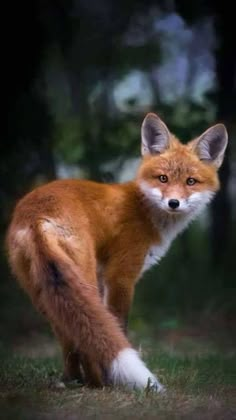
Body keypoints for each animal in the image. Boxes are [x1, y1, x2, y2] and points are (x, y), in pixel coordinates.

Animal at [6, 112, 227, 390]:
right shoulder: (120, 276)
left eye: (191, 182)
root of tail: (37, 215)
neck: (144, 211)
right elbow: (119, 328)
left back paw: (74, 380)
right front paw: (119, 377)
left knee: (69, 336)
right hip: (84, 279)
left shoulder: (104, 278)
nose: (173, 203)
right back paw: (101, 383)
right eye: (163, 178)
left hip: (44, 292)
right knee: (85, 337)